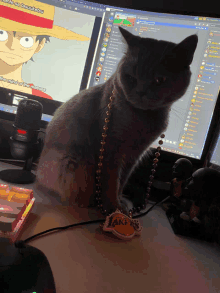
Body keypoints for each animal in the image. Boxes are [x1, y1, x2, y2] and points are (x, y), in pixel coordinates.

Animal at [35, 26, 198, 214]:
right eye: (131, 77)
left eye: (160, 80)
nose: (141, 92)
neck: (142, 119)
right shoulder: (111, 149)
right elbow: (110, 182)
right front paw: (113, 208)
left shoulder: (134, 155)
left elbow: (122, 181)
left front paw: (120, 205)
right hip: (74, 165)